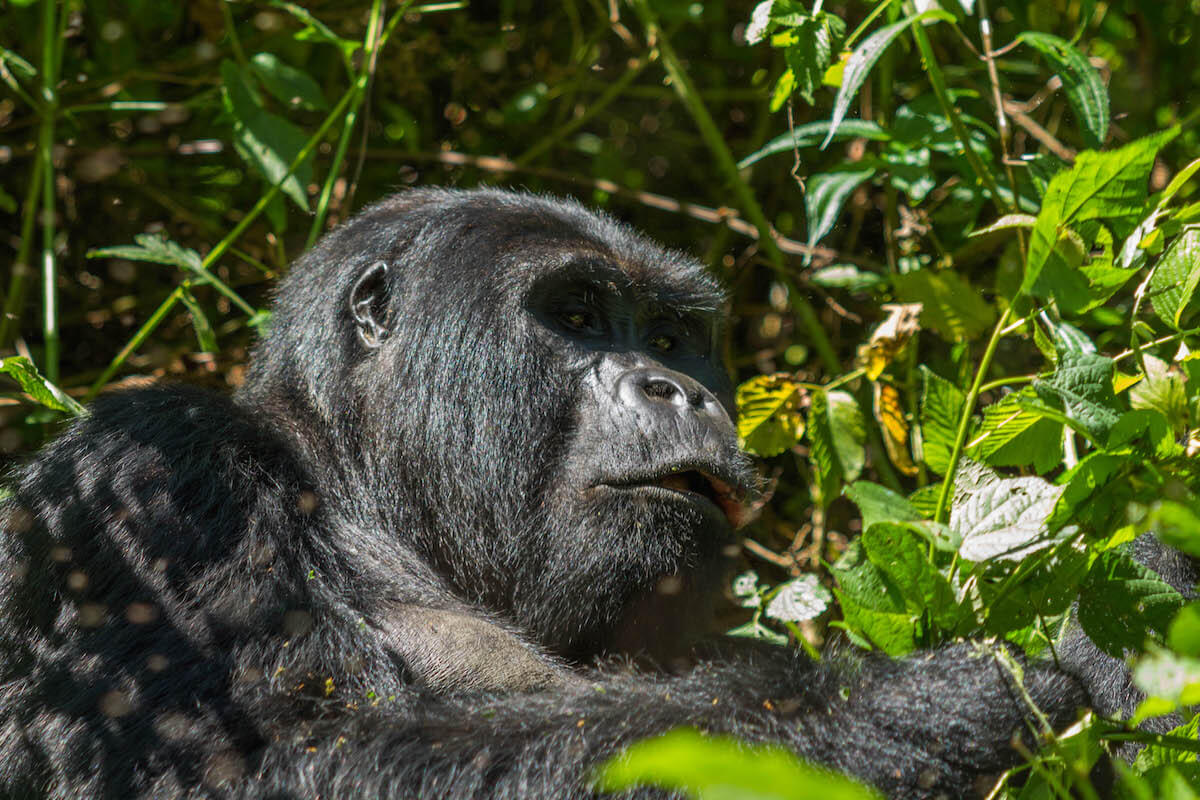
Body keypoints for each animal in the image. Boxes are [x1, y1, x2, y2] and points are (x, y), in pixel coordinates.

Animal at [2, 189, 1099, 800]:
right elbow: (279, 758)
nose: (677, 388)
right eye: (574, 316)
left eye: (669, 337)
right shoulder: (154, 479)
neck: (352, 489)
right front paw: (937, 695)